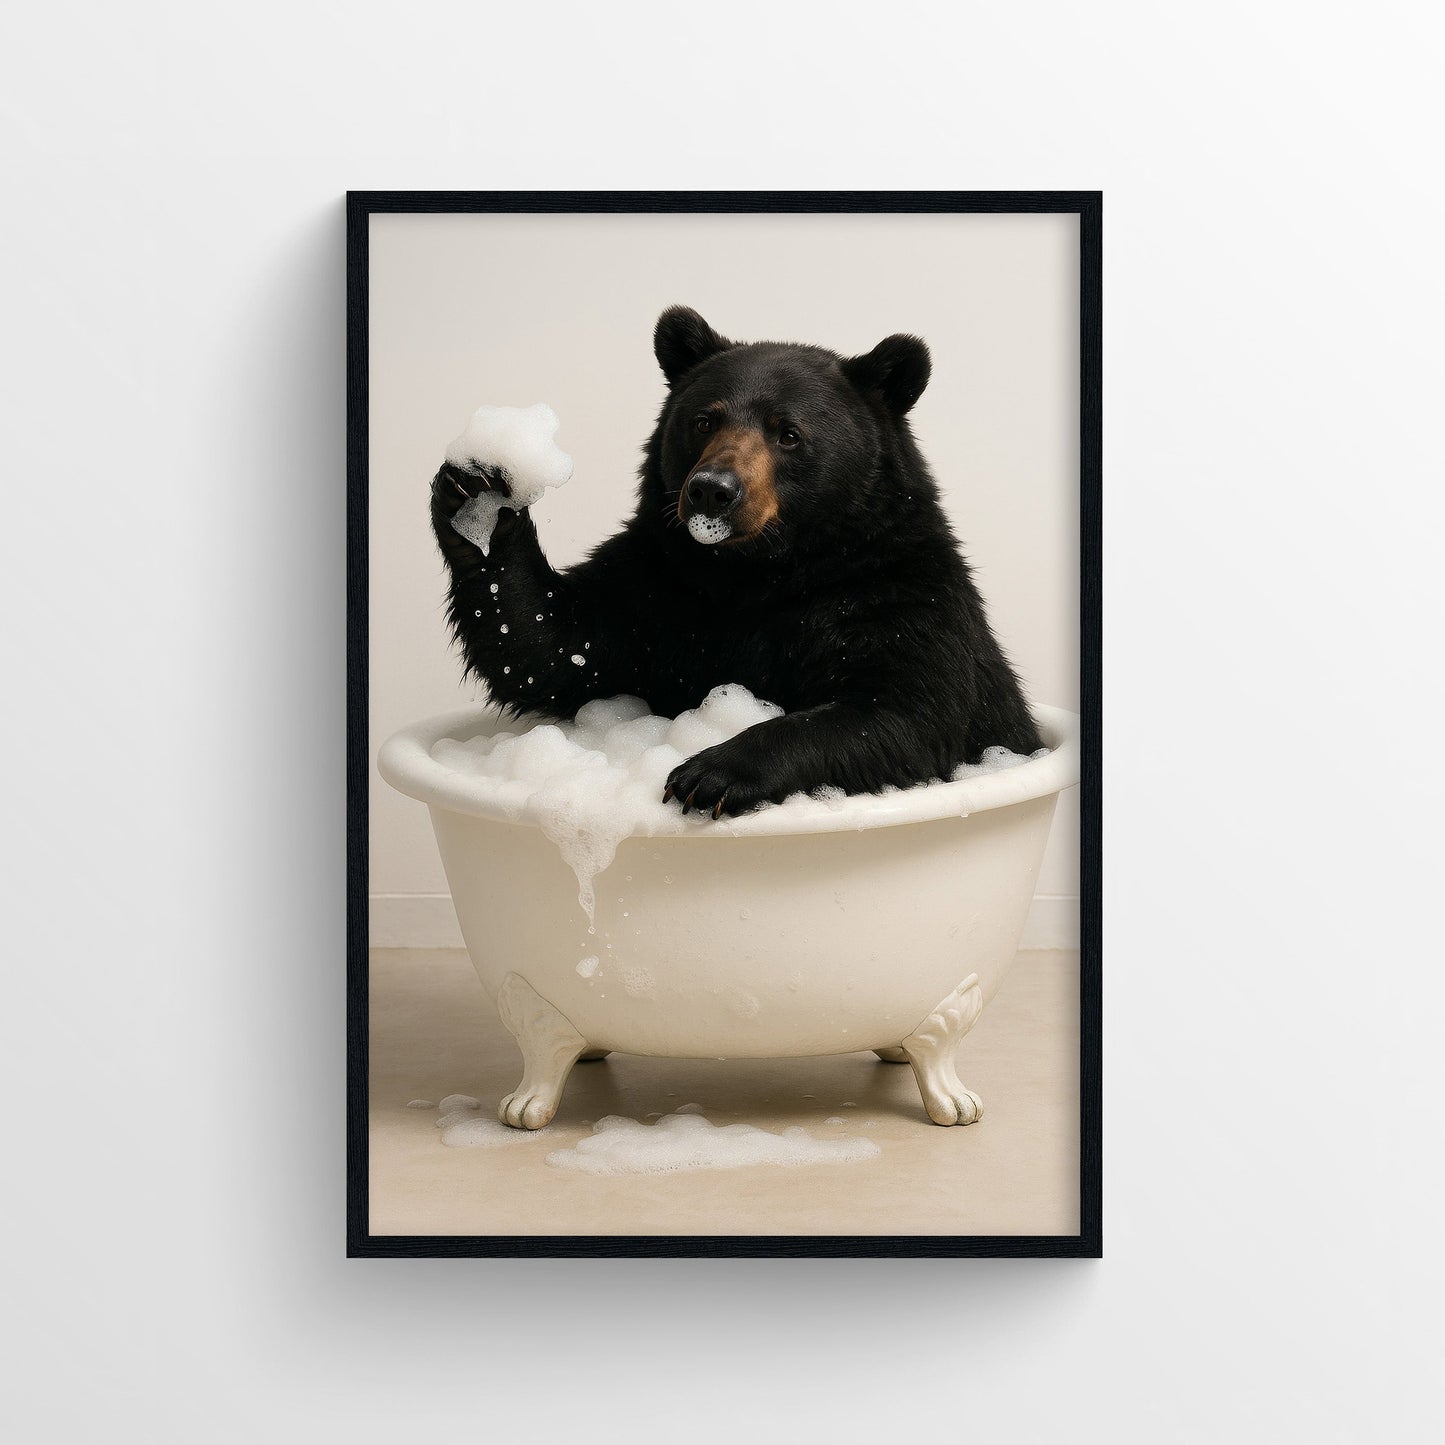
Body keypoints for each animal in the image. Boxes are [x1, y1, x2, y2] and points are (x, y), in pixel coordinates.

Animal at [429, 305, 1043, 818]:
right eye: (704, 420)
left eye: (788, 433)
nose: (712, 491)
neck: (757, 572)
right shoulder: (658, 583)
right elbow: (558, 649)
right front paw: (477, 498)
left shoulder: (898, 593)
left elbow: (905, 711)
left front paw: (710, 773)